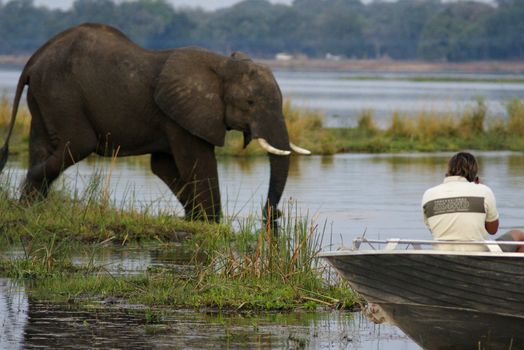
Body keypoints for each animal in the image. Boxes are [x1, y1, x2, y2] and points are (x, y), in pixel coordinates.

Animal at [0, 23, 310, 223]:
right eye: (250, 103)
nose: (273, 214)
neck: (222, 65)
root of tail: (35, 57)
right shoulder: (181, 116)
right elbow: (198, 162)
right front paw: (211, 222)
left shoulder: (174, 118)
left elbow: (163, 165)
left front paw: (195, 218)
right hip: (61, 92)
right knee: (78, 144)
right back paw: (32, 190)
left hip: (43, 94)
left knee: (41, 145)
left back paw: (29, 206)